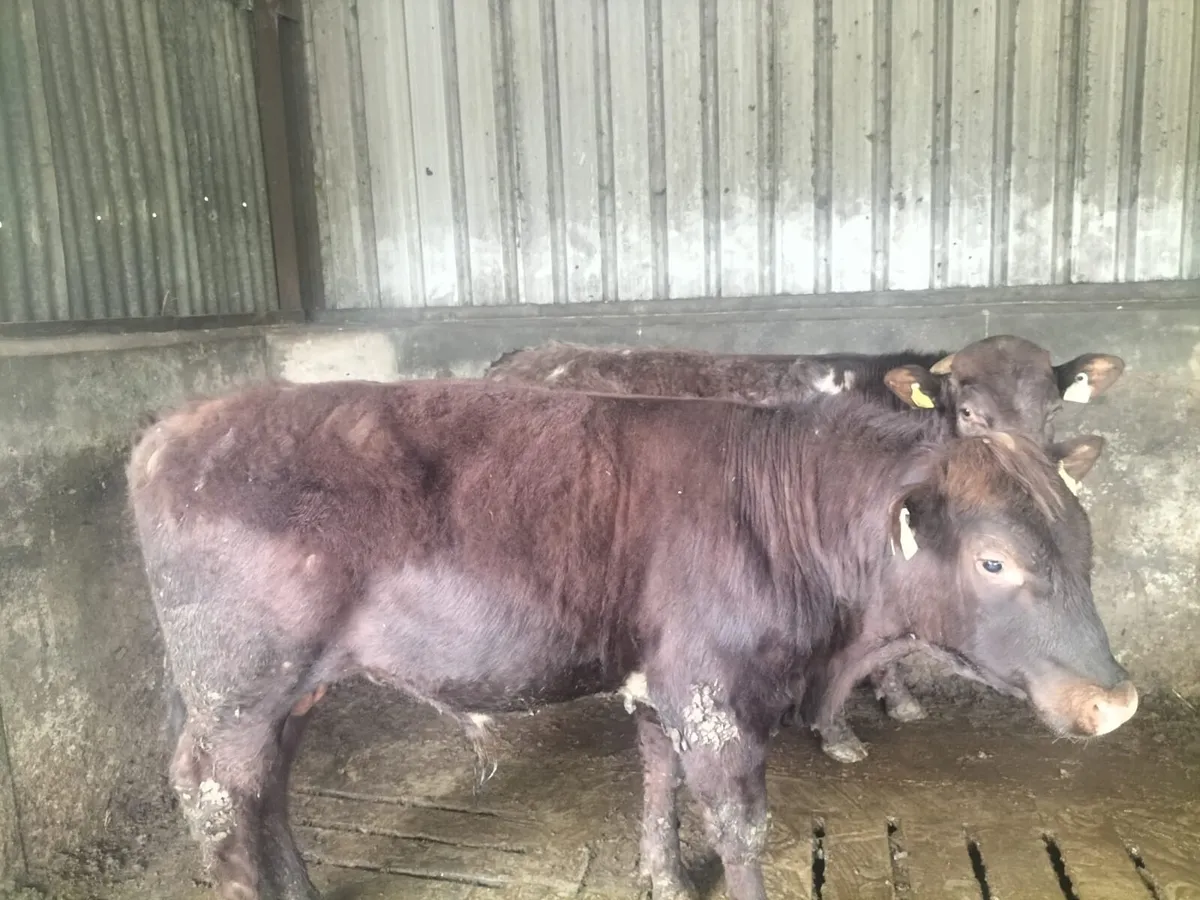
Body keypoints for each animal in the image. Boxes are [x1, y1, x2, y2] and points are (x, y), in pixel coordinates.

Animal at [484, 334, 1126, 763]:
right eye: (970, 412)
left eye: (1053, 410)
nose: (1035, 471)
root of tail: (523, 355)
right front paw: (840, 734)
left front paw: (898, 700)